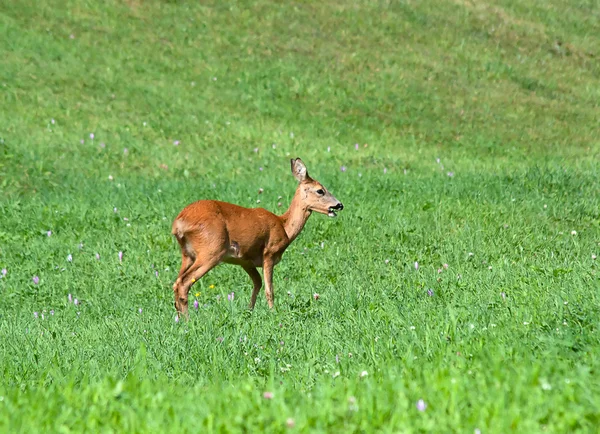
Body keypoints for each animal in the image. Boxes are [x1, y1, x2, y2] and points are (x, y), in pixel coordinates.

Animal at [171, 158, 344, 314]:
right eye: (320, 190)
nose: (339, 205)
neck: (284, 226)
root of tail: (179, 223)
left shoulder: (245, 260)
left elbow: (257, 283)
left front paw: (250, 311)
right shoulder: (269, 253)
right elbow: (269, 289)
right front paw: (273, 313)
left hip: (187, 254)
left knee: (176, 282)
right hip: (211, 251)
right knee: (184, 283)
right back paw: (187, 319)